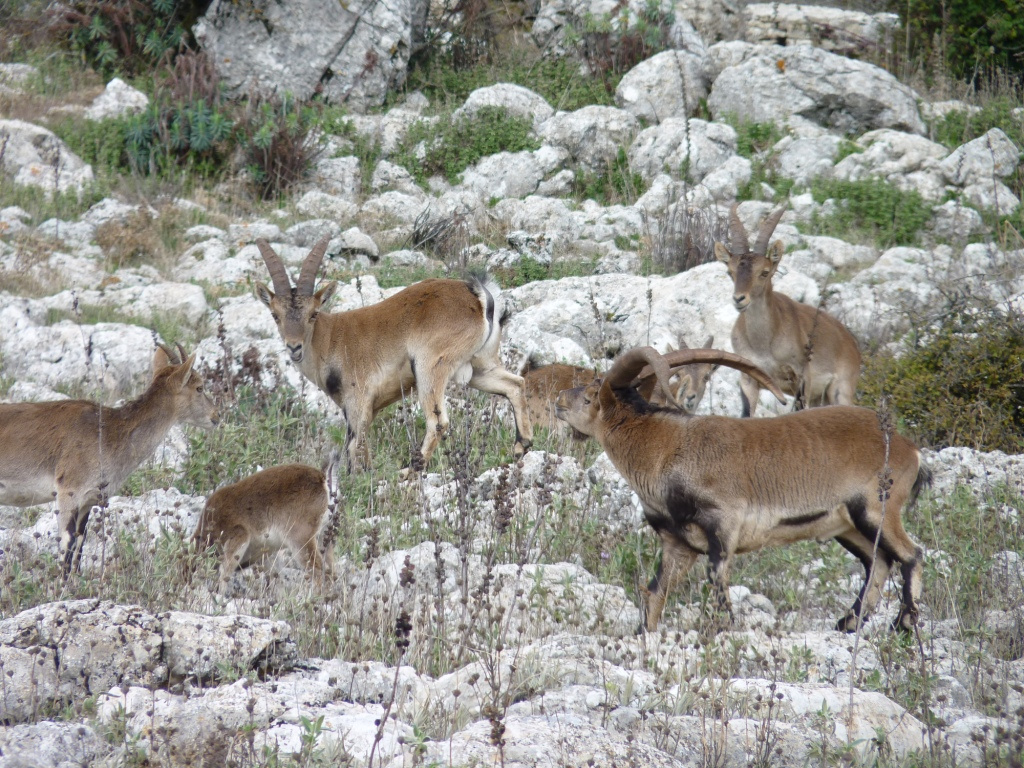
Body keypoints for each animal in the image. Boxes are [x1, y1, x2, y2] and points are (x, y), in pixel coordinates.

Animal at [0, 346, 218, 573]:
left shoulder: (88, 500)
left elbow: (79, 545)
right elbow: (67, 545)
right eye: (200, 387)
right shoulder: (68, 490)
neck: (109, 433)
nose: (216, 416)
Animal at [557, 346, 933, 634]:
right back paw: (848, 624)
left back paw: (902, 626)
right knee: (879, 561)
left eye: (590, 397)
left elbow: (717, 586)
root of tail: (910, 450)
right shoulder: (678, 541)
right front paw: (643, 633)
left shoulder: (723, 525)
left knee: (911, 555)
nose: (560, 399)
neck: (664, 450)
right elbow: (654, 593)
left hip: (876, 508)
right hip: (847, 524)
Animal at [716, 205, 860, 415]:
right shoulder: (748, 380)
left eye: (765, 272)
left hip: (841, 389)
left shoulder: (801, 376)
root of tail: (851, 341)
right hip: (820, 398)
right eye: (730, 272)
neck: (764, 344)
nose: (739, 299)